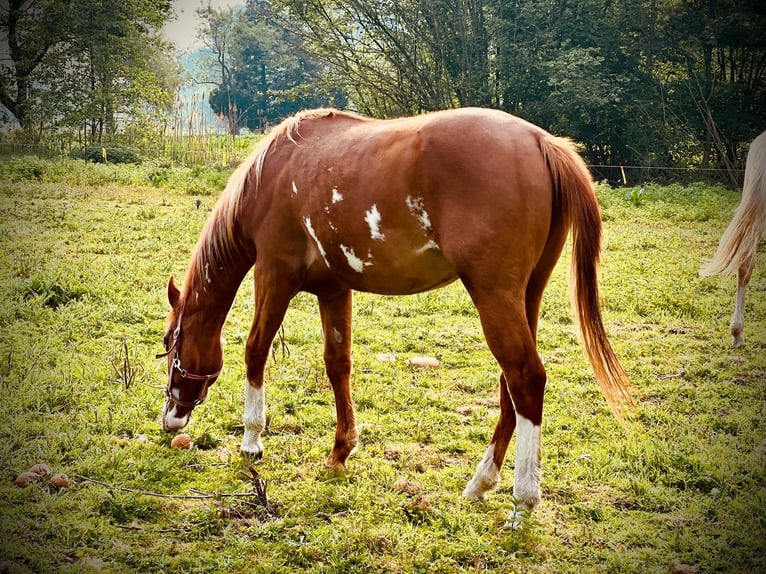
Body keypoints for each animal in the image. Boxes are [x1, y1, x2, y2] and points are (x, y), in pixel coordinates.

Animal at [157, 107, 632, 526]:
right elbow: (338, 365)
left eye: (168, 343)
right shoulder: (333, 290)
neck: (273, 174)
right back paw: (480, 484)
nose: (171, 419)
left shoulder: (274, 275)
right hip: (526, 294)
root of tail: (541, 142)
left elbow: (255, 350)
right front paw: (340, 451)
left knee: (526, 380)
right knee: (510, 387)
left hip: (495, 295)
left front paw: (252, 440)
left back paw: (522, 503)